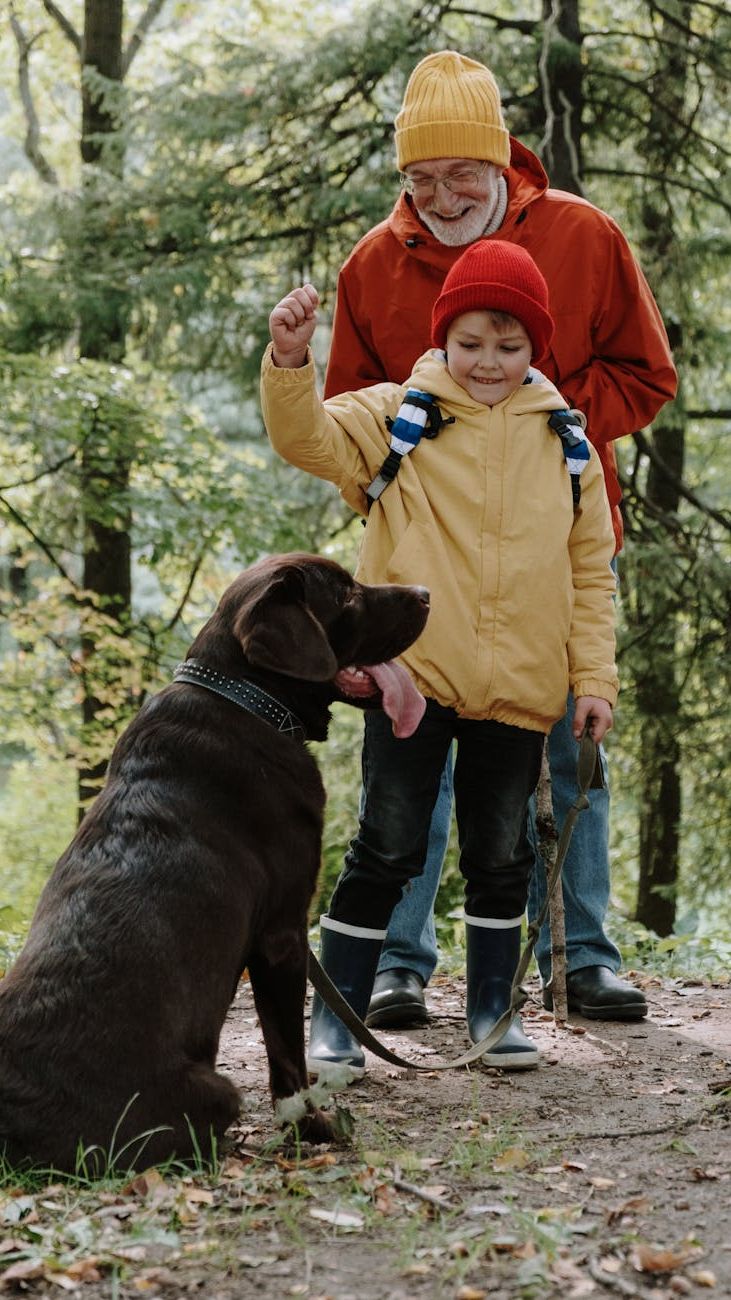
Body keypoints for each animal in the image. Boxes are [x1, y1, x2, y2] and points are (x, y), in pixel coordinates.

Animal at [0, 553, 426, 1175]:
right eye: (346, 592)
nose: (426, 593)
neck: (246, 697)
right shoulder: (281, 934)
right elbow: (287, 1061)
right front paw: (315, 1129)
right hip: (216, 1089)